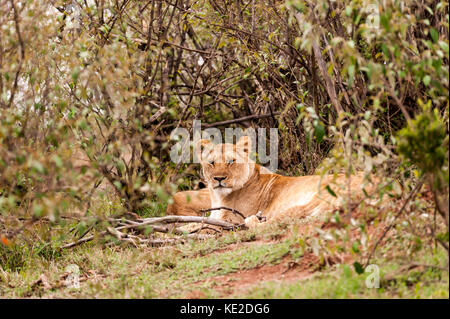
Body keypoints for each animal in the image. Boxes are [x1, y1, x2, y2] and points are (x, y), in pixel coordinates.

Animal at [196, 135, 372, 228]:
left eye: (231, 161)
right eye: (211, 163)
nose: (219, 179)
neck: (218, 196)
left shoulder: (231, 219)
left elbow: (202, 224)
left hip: (317, 198)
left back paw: (254, 220)